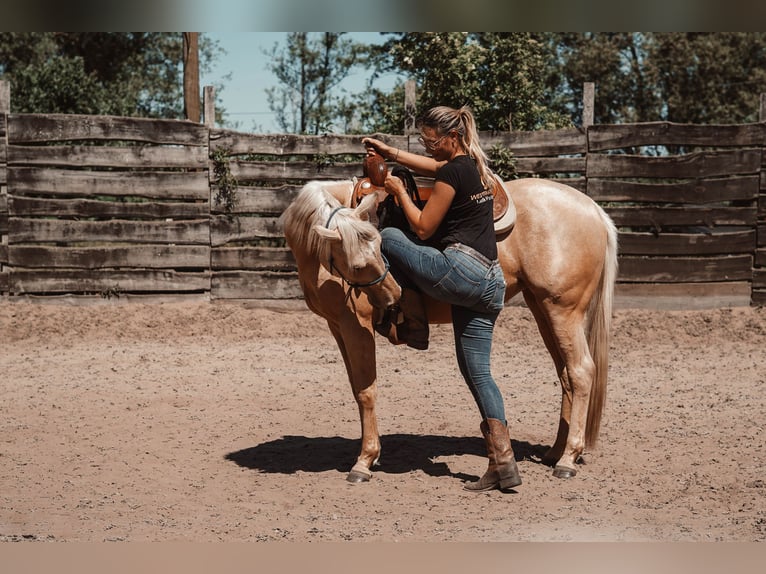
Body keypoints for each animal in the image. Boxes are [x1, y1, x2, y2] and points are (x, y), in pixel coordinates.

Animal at [280, 178, 616, 484]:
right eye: (360, 264)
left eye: (379, 247)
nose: (394, 294)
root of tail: (594, 210)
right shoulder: (337, 326)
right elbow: (355, 388)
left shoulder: (356, 326)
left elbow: (366, 392)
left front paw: (364, 461)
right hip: (542, 309)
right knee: (566, 375)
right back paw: (555, 452)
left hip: (563, 311)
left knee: (581, 371)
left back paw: (568, 459)